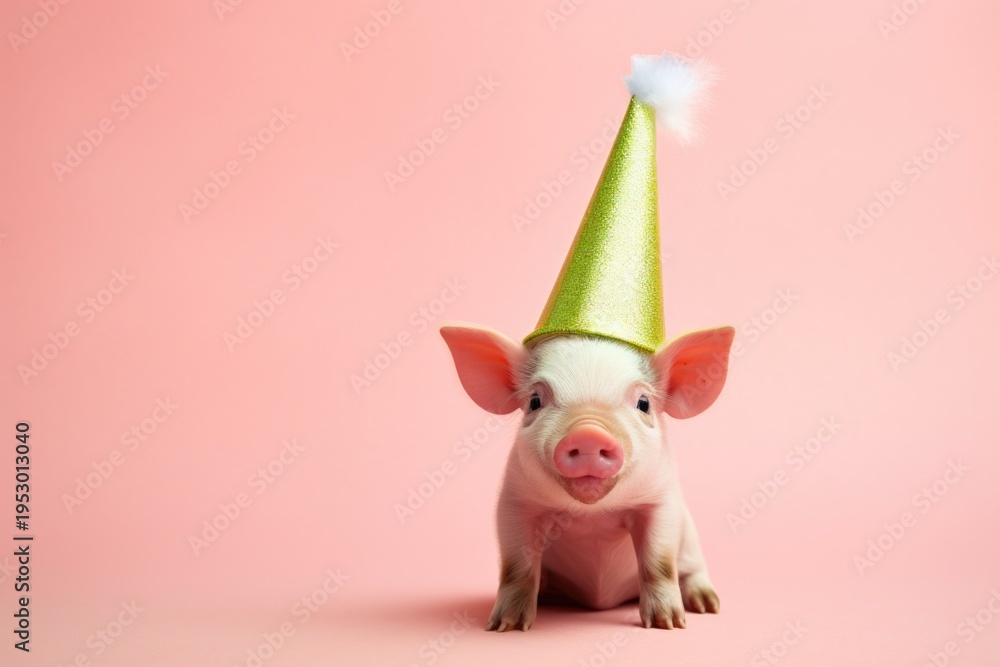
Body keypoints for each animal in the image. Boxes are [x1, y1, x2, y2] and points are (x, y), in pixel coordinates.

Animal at [440, 323, 735, 631]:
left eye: (643, 403)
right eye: (535, 401)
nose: (589, 433)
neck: (591, 514)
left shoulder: (661, 501)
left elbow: (660, 564)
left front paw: (669, 625)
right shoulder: (514, 502)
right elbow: (516, 567)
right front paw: (504, 626)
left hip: (690, 538)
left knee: (691, 570)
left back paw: (708, 605)